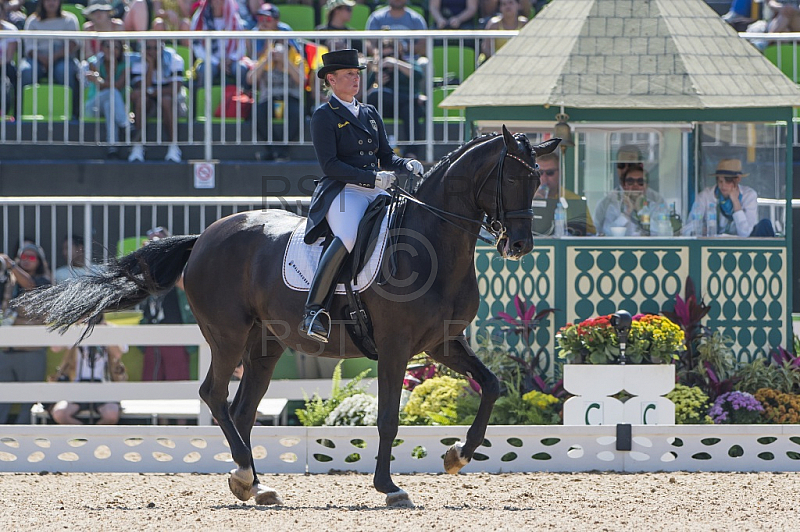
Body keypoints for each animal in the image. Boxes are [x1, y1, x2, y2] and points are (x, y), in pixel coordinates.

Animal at [15, 127, 560, 510]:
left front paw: (456, 455)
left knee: (240, 410)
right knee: (213, 394)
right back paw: (244, 477)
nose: (519, 245)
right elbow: (387, 417)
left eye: (538, 179)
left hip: (265, 346)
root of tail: (205, 236)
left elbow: (491, 386)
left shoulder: (441, 342)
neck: (432, 242)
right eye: (513, 177)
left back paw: (254, 485)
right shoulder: (397, 346)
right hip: (228, 336)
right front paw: (389, 486)